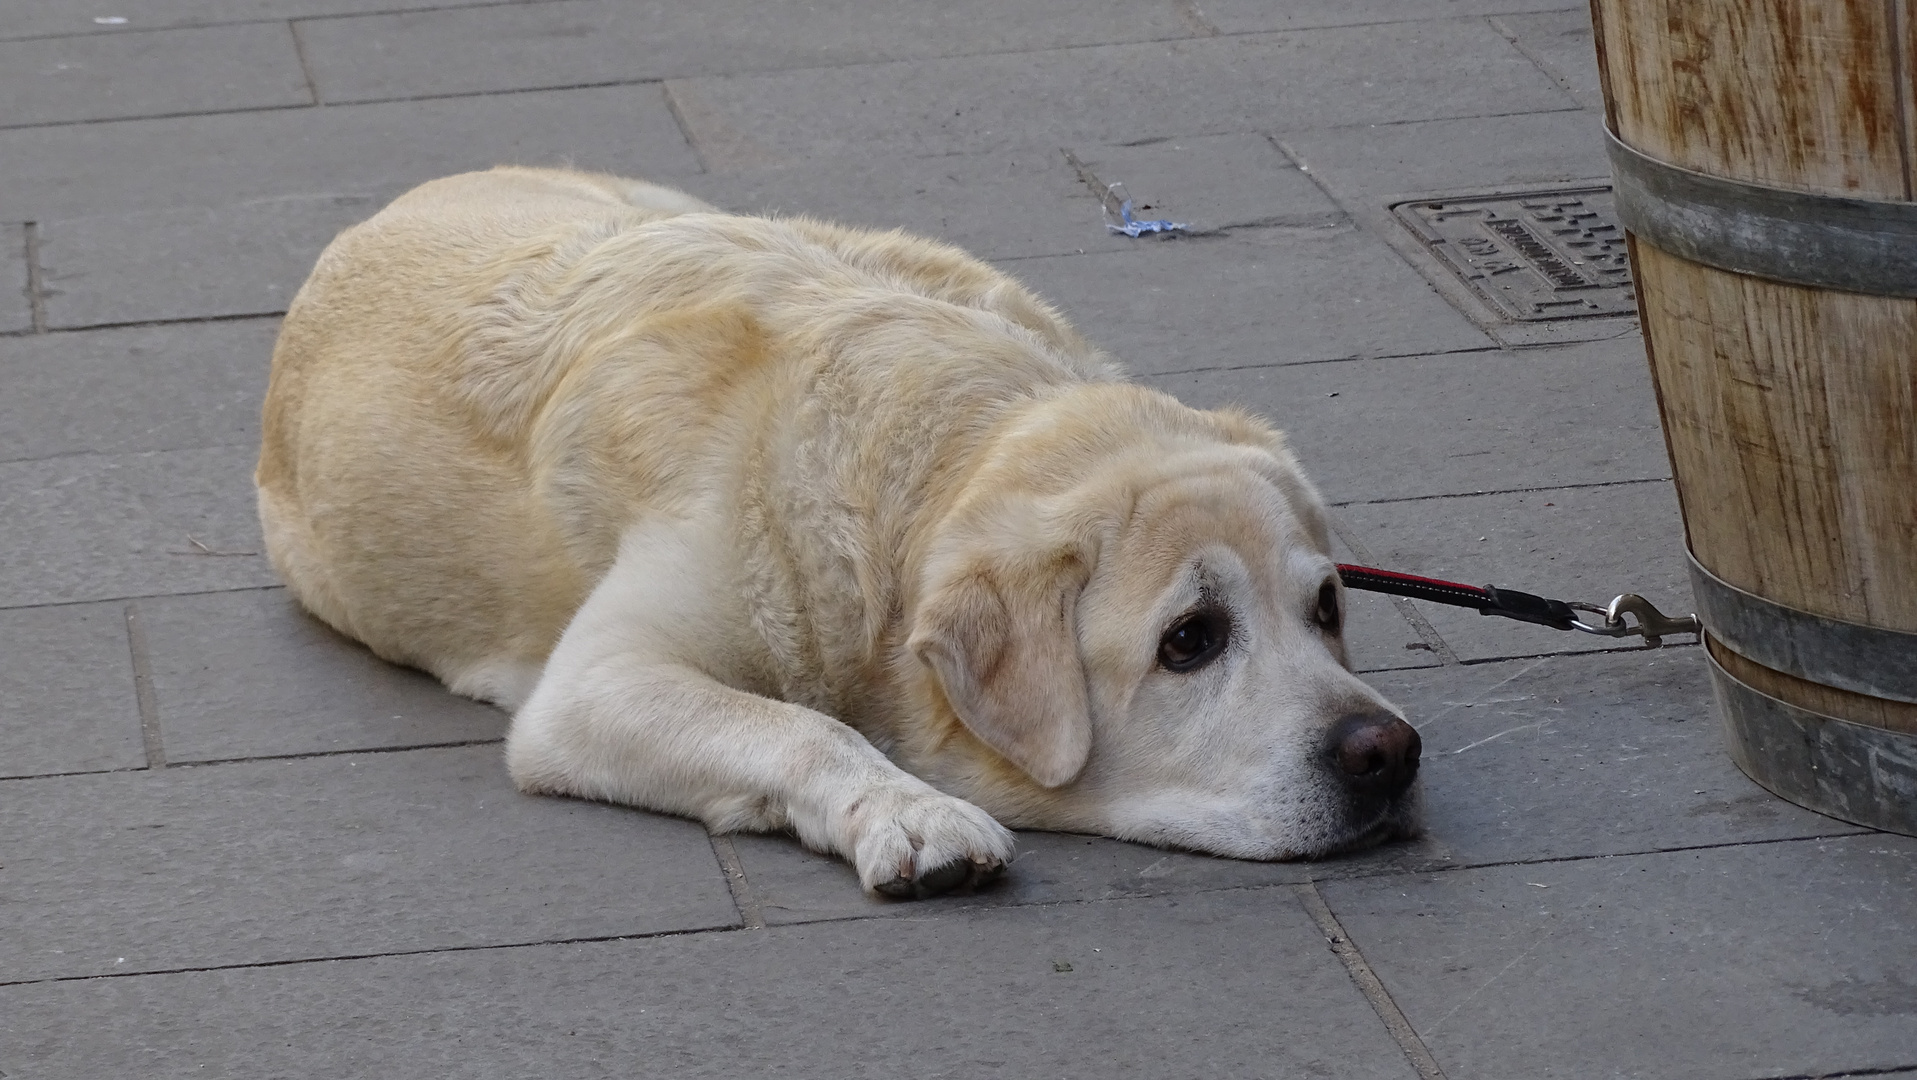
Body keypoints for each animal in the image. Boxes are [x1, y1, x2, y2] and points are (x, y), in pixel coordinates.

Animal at [258, 164, 1426, 901]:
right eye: (1190, 639)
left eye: (1326, 607)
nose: (1388, 752)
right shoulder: (595, 681)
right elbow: (797, 726)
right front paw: (908, 812)